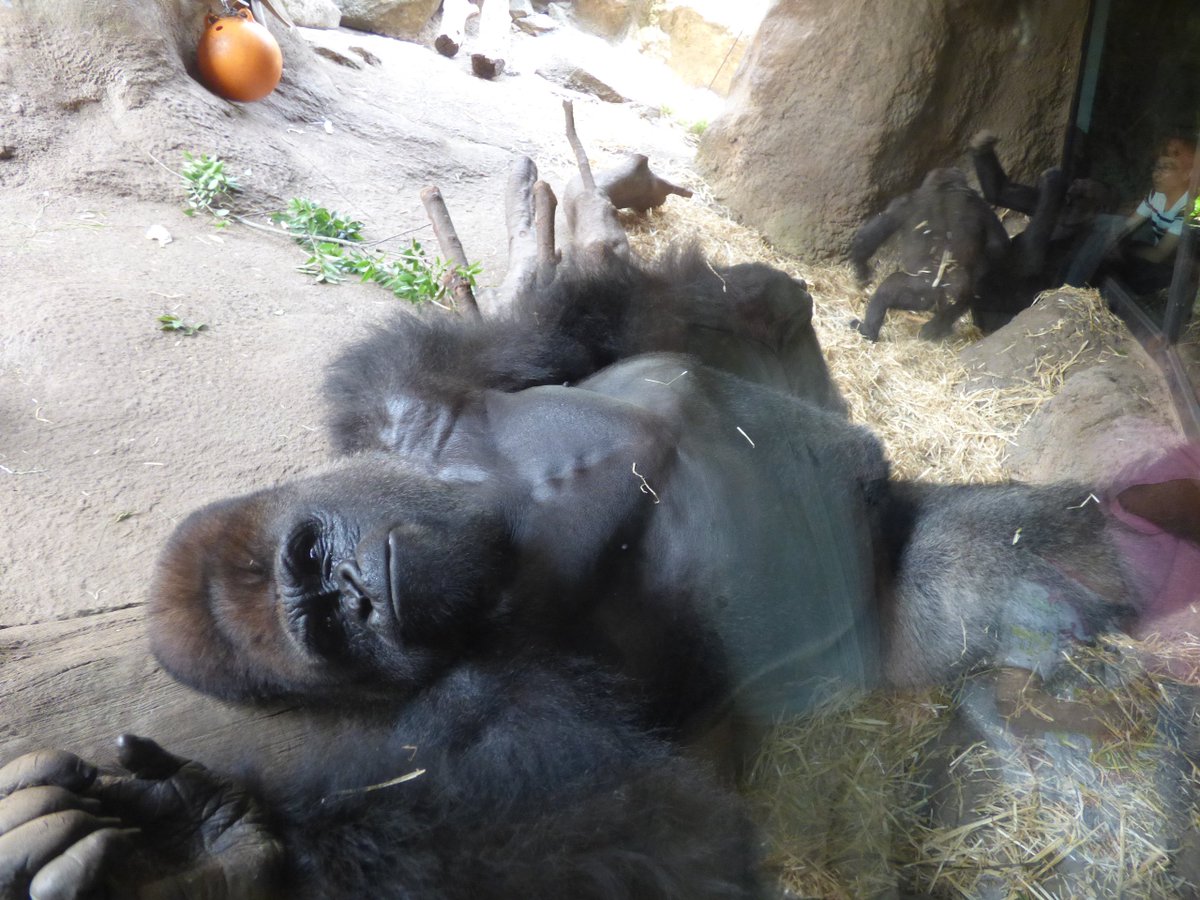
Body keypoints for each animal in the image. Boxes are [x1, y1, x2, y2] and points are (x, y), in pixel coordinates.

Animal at [0, 158, 1161, 897]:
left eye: (316, 572)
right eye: (324, 623)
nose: (362, 594)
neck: (496, 512)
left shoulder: (410, 401)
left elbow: (589, 318)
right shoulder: (489, 684)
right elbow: (638, 834)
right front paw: (224, 849)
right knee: (993, 569)